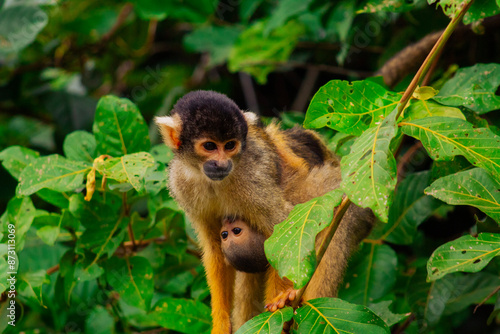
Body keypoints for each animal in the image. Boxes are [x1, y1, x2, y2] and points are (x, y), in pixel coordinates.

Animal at [154, 90, 374, 334]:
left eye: (230, 145)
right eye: (210, 146)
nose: (222, 164)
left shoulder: (252, 178)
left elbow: (285, 233)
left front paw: (280, 303)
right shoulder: (180, 185)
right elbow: (215, 251)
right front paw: (220, 321)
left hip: (351, 201)